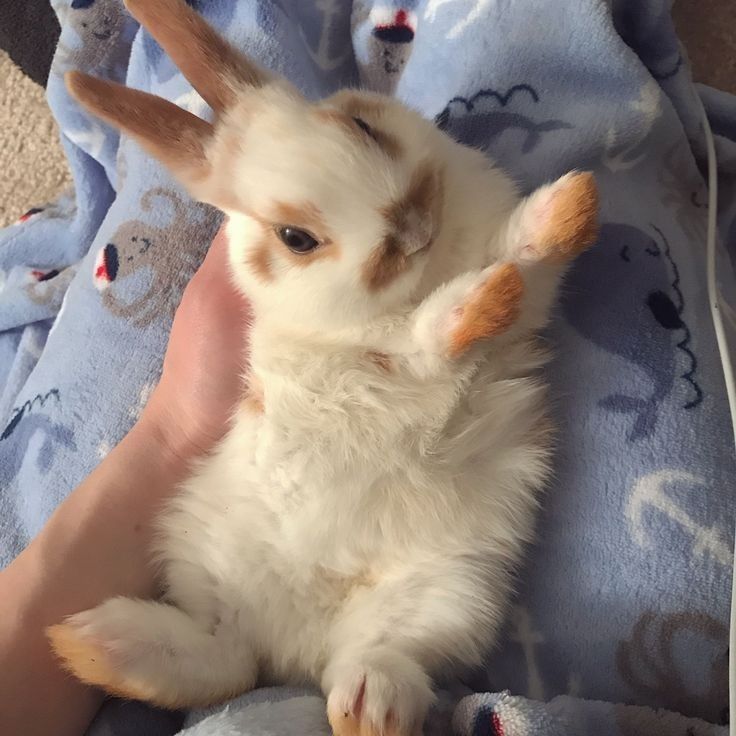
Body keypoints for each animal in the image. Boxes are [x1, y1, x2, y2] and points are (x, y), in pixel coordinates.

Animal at [47, 1, 599, 734]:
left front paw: (574, 204)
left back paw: (363, 705)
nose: (413, 227)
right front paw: (480, 298)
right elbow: (426, 340)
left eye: (361, 124)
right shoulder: (377, 347)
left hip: (450, 589)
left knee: (356, 662)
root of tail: (293, 652)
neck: (426, 273)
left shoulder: (521, 307)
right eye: (295, 238)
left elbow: (526, 262)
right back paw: (93, 644)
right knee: (226, 661)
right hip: (211, 562)